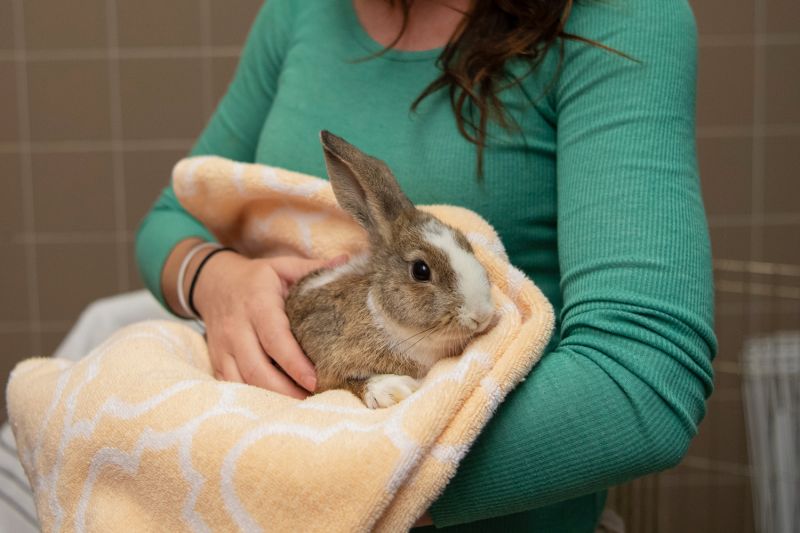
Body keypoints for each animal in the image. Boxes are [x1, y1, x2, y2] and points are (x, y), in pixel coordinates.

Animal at [284, 132, 496, 408]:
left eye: (465, 243)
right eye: (421, 270)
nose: (481, 315)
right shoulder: (326, 365)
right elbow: (347, 382)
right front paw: (393, 390)